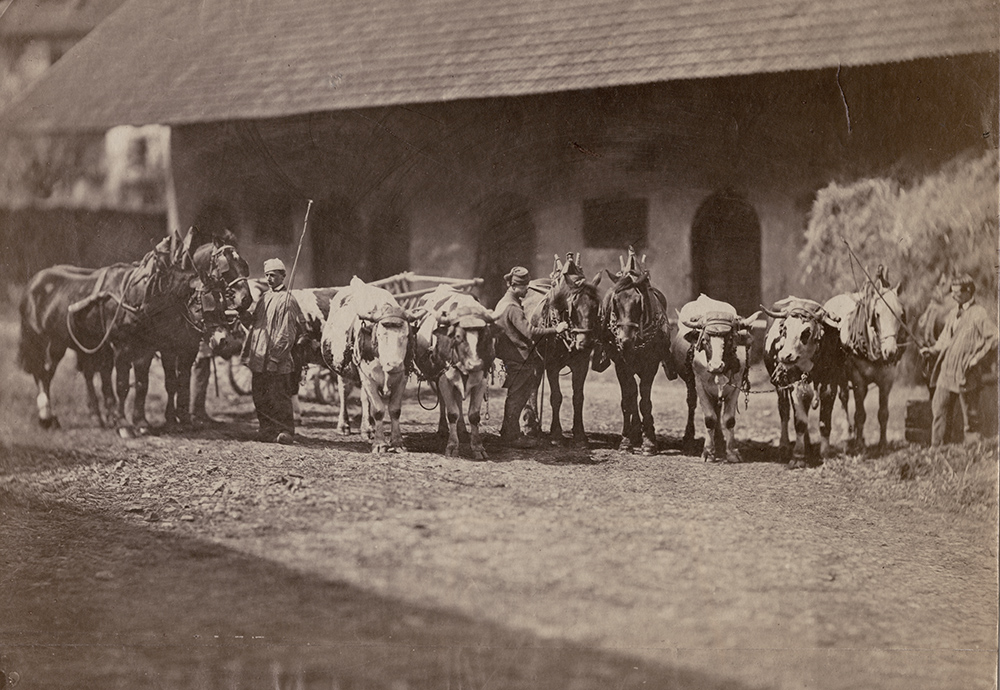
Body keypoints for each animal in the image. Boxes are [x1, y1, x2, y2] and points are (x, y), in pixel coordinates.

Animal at [524, 253, 600, 446]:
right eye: (574, 308)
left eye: (596, 307)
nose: (585, 343)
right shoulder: (552, 365)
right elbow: (556, 397)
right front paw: (556, 434)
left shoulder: (581, 365)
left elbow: (578, 397)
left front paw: (580, 434)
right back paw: (530, 426)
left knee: (533, 384)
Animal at [592, 246, 680, 452]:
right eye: (614, 302)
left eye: (639, 302)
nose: (625, 340)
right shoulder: (621, 365)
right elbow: (629, 399)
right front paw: (627, 439)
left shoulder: (651, 365)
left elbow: (644, 401)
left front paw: (649, 441)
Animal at [820, 266, 908, 454]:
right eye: (877, 314)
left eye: (900, 314)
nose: (891, 351)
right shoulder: (858, 380)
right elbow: (860, 414)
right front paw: (859, 444)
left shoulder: (887, 380)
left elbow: (883, 413)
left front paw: (883, 444)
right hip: (840, 375)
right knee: (844, 398)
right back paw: (848, 435)